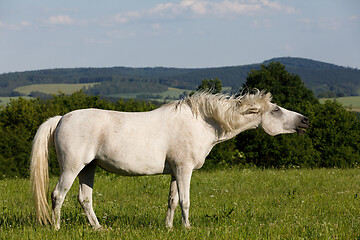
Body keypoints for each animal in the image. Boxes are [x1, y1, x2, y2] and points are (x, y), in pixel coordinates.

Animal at [29, 91, 308, 230]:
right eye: (276, 110)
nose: (305, 121)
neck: (202, 122)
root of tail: (62, 118)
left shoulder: (175, 171)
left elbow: (172, 201)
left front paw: (169, 228)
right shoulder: (184, 170)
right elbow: (185, 201)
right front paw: (187, 229)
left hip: (89, 168)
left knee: (84, 199)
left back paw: (99, 229)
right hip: (72, 168)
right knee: (58, 195)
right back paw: (56, 228)